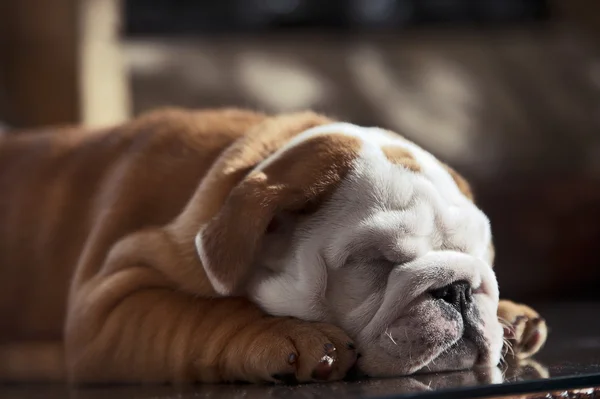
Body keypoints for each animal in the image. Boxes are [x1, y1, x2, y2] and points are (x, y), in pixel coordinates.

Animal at [0, 108, 548, 384]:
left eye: (482, 259)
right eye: (377, 262)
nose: (458, 289)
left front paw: (510, 315)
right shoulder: (106, 314)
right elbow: (197, 314)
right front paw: (287, 335)